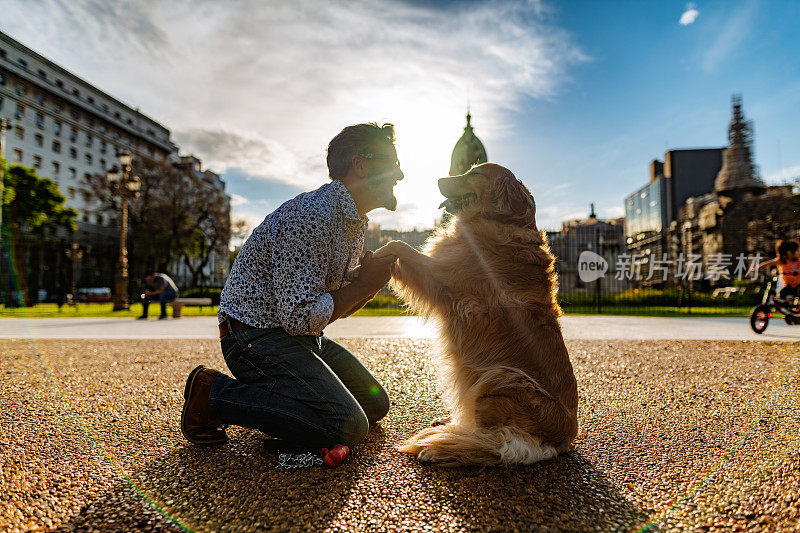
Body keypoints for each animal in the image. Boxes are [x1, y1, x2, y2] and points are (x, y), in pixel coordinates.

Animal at [372, 162, 580, 466]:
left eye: (475, 174)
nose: (438, 178)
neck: (500, 221)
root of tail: (559, 443)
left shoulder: (440, 276)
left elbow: (399, 245)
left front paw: (373, 254)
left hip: (499, 378)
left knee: (493, 439)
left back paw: (442, 442)